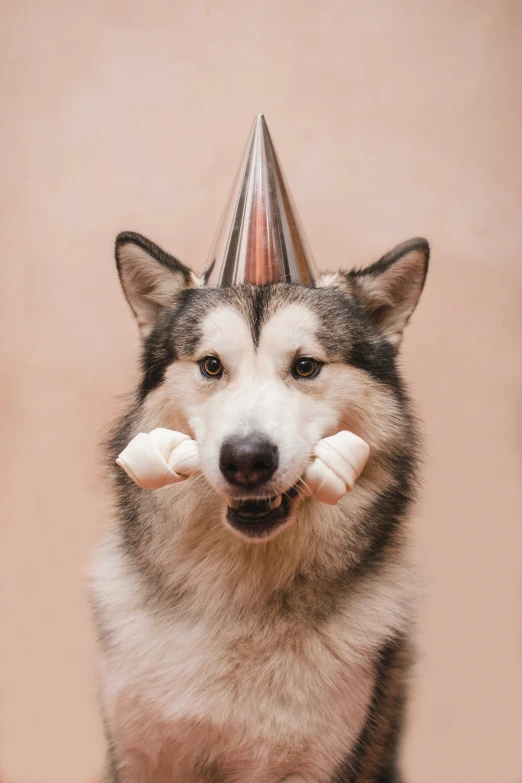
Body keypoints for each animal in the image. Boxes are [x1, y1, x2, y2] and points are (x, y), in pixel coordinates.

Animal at [89, 230, 426, 780]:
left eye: (306, 366)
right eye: (211, 365)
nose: (246, 460)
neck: (239, 600)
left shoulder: (309, 764)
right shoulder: (145, 756)